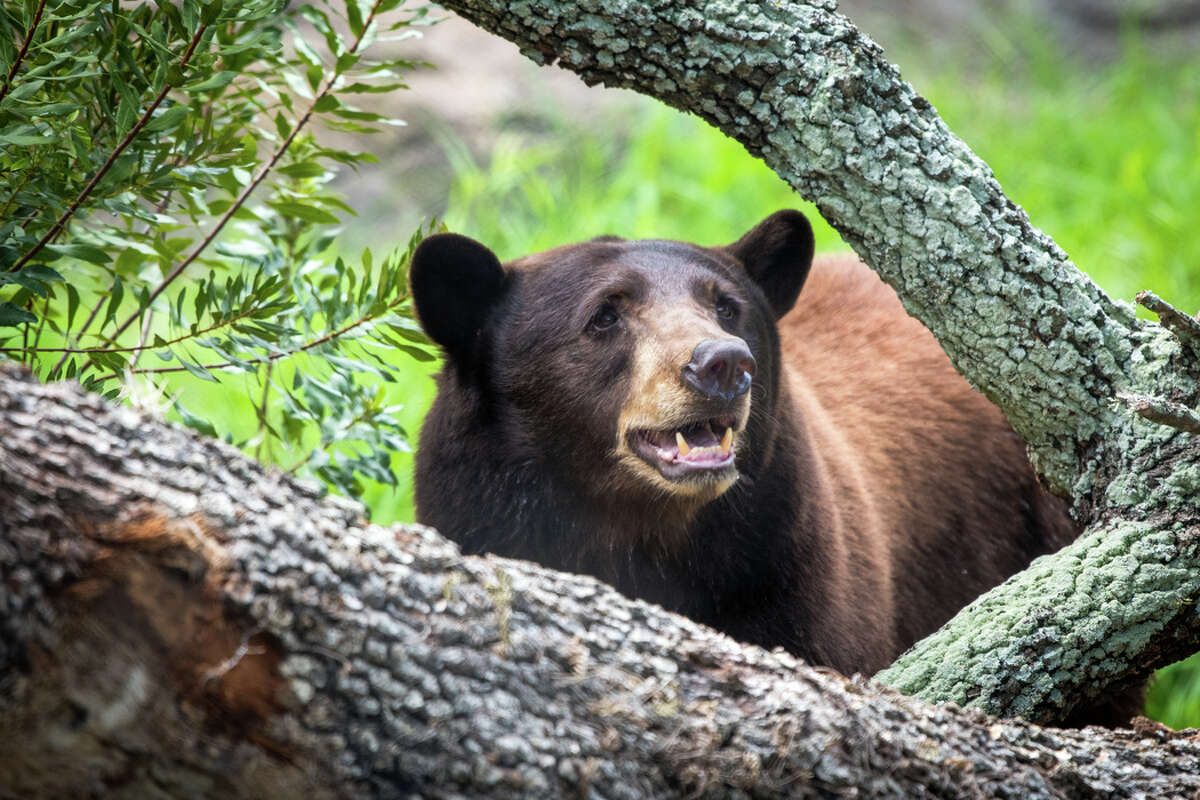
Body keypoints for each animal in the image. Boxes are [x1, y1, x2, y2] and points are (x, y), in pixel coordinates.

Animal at [410, 209, 1080, 681]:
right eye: (604, 315)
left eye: (726, 306)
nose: (723, 363)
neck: (637, 526)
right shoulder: (481, 515)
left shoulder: (782, 569)